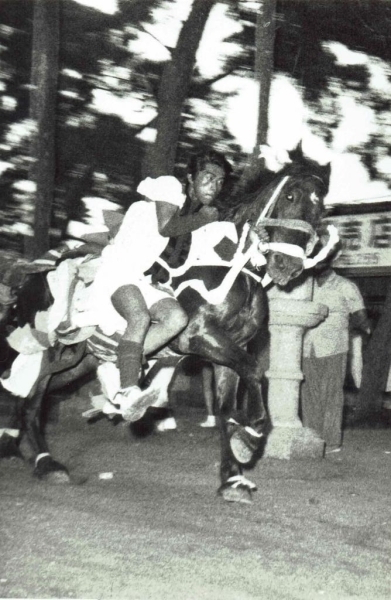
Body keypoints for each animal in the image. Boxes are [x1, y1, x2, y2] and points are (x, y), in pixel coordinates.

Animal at [0, 154, 332, 502]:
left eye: (321, 208)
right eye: (290, 196)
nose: (287, 266)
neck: (229, 266)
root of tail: (31, 275)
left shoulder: (229, 350)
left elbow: (227, 408)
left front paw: (232, 477)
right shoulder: (198, 337)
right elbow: (255, 371)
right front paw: (252, 435)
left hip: (78, 361)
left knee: (32, 393)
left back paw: (19, 444)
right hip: (50, 349)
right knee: (31, 399)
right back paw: (47, 462)